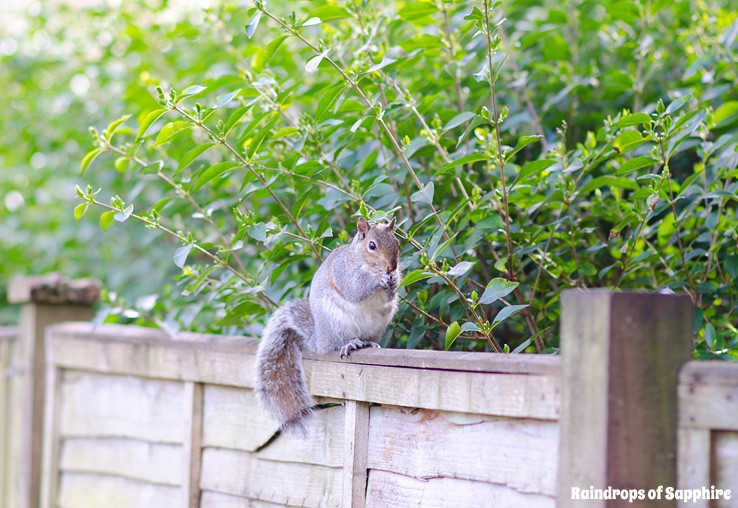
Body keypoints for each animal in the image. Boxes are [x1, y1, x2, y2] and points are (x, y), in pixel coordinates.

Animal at [254, 217, 402, 432]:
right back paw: (351, 344)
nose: (392, 267)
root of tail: (320, 340)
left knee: (368, 338)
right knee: (339, 343)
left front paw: (395, 279)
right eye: (372, 245)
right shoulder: (345, 273)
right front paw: (379, 279)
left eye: (397, 242)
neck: (365, 263)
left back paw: (370, 343)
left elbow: (389, 294)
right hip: (335, 323)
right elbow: (357, 289)